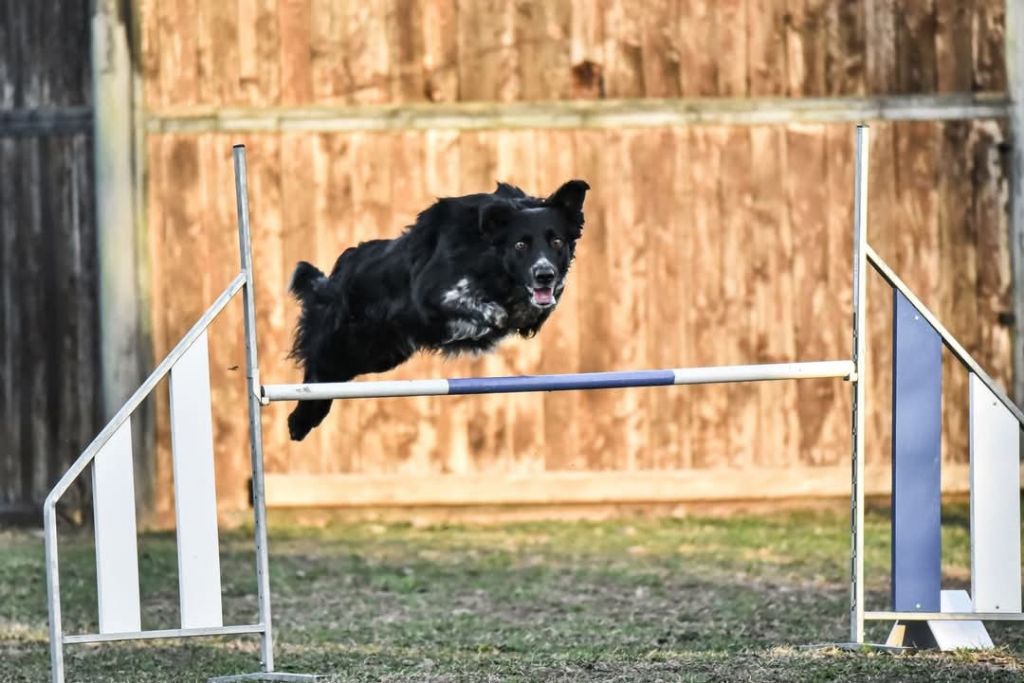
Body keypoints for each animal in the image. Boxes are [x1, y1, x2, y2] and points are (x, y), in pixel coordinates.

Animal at [288, 179, 593, 440]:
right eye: (520, 244)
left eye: (556, 242)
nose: (545, 275)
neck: (486, 252)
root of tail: (332, 280)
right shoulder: (429, 293)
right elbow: (473, 303)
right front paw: (492, 313)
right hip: (343, 342)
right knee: (317, 372)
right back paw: (298, 422)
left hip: (378, 354)